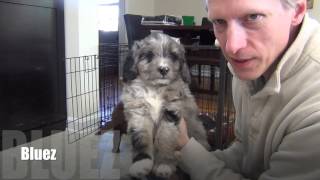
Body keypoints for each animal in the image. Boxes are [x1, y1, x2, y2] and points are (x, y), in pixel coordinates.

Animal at [121, 32, 209, 179]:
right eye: (149, 55)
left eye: (173, 56)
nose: (163, 69)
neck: (155, 89)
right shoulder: (139, 114)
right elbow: (141, 139)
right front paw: (141, 162)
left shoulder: (171, 111)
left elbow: (165, 137)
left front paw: (164, 164)